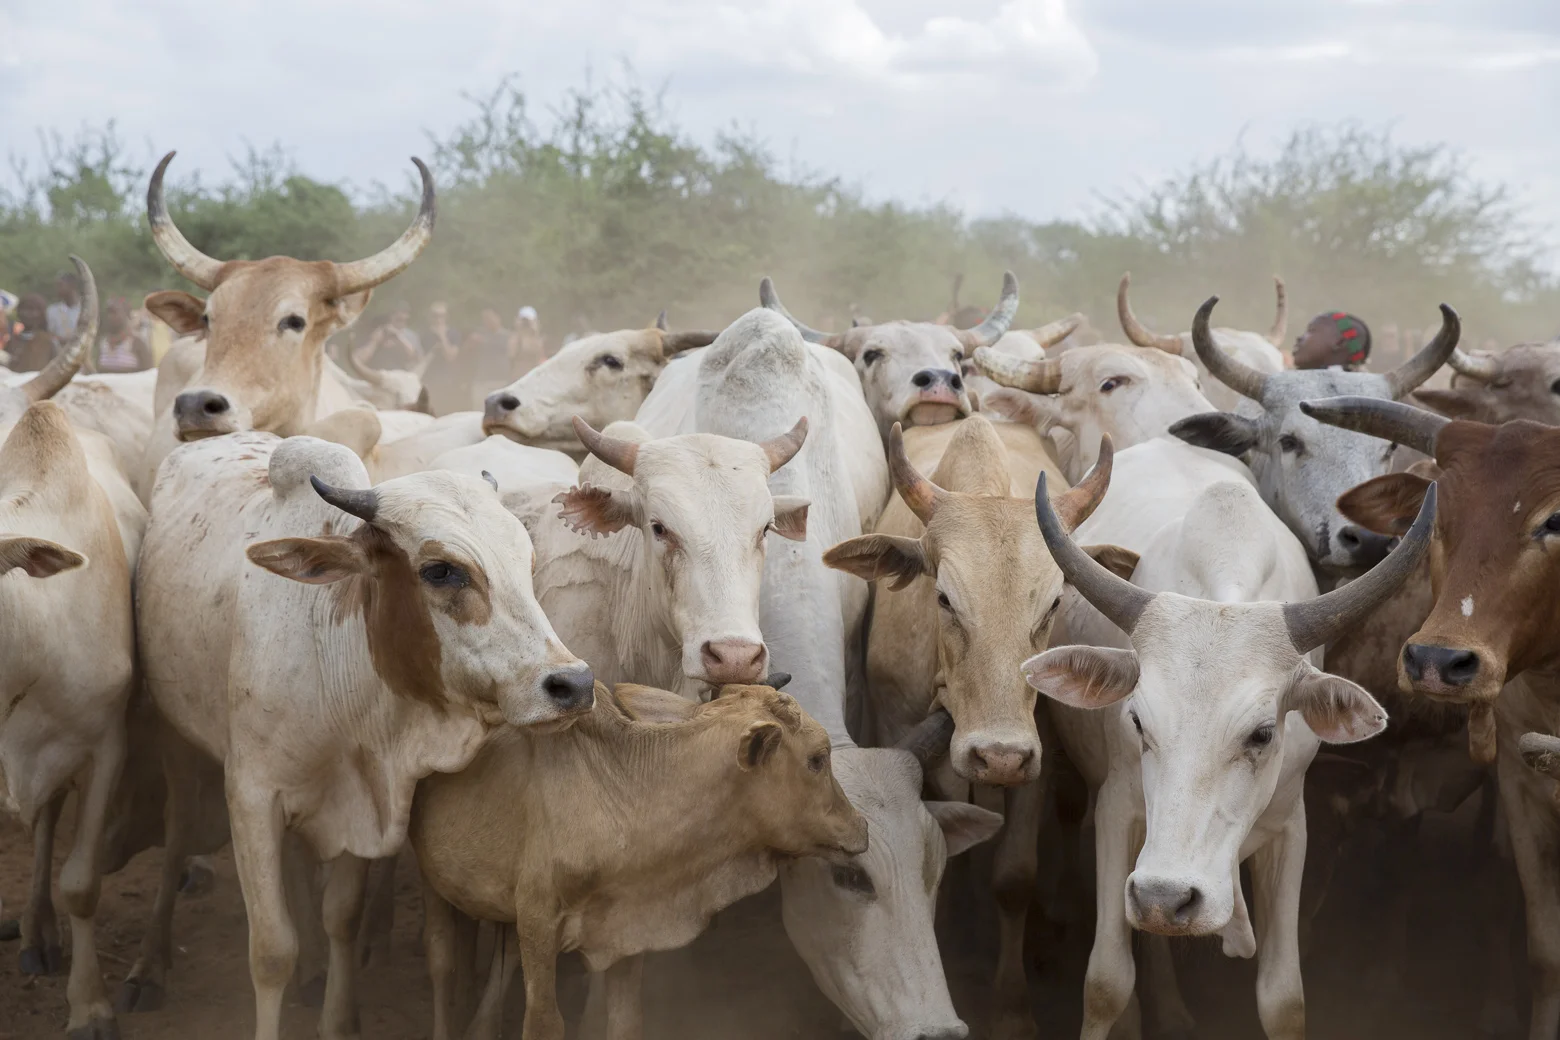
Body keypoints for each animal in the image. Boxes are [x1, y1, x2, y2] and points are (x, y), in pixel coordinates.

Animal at [127, 432, 593, 1040]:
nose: (572, 683)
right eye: (440, 571)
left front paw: (338, 1016)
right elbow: (271, 951)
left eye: (527, 561)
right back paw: (150, 964)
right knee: (179, 834)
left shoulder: (358, 802)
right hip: (178, 741)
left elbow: (341, 917)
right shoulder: (251, 798)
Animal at [410, 679, 869, 1040]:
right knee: (441, 961)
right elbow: (544, 1023)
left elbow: (627, 1022)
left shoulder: (629, 930)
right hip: (432, 880)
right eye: (818, 758)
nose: (861, 826)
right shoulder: (538, 923)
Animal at [823, 416, 1109, 1038]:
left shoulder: (1034, 757)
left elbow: (1014, 878)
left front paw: (1012, 1009)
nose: (996, 756)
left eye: (1054, 604)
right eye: (944, 597)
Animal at [1027, 439, 1435, 1040]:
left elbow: (1283, 998)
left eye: (1263, 734)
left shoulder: (1291, 828)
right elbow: (1106, 982)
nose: (1166, 896)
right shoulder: (1118, 810)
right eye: (1138, 723)